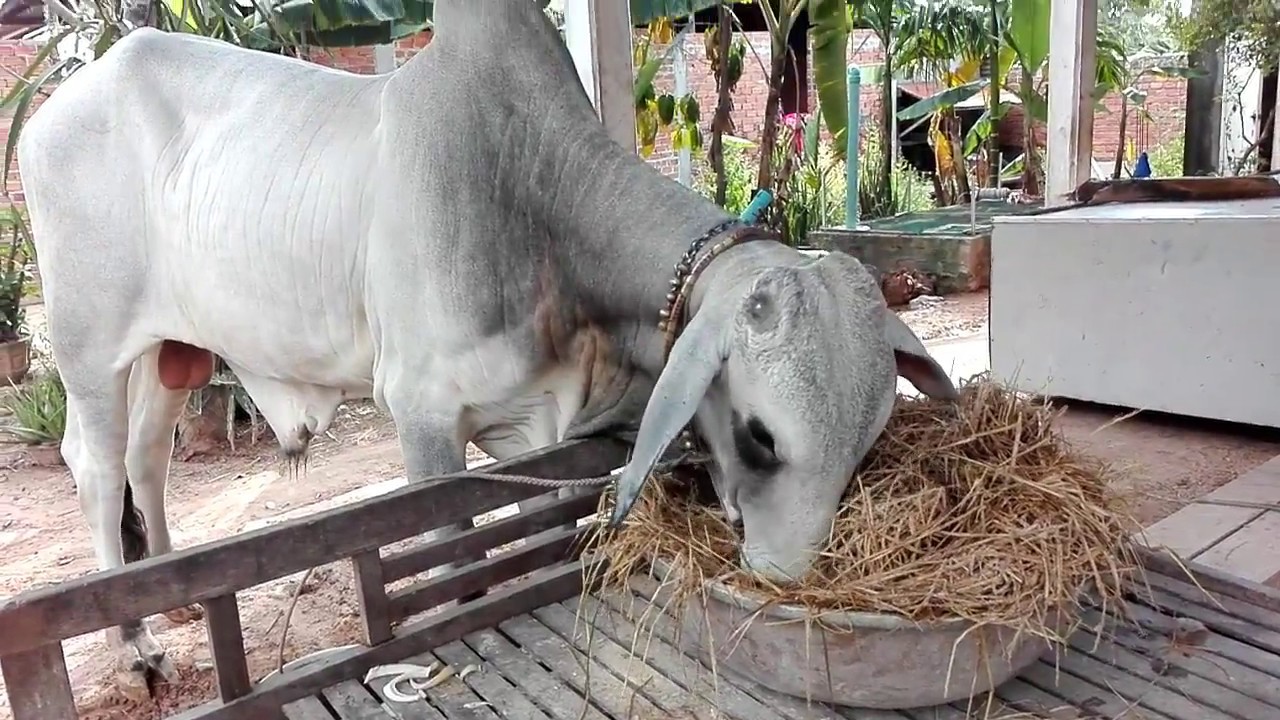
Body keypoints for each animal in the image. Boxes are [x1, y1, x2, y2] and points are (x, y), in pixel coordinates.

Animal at [17, 0, 958, 696]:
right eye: (762, 436)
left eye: (867, 442)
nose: (786, 575)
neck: (535, 204)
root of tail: (56, 103)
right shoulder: (424, 412)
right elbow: (454, 560)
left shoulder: (541, 421)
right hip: (88, 345)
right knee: (95, 467)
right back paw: (136, 644)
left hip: (170, 351)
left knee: (146, 459)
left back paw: (172, 602)